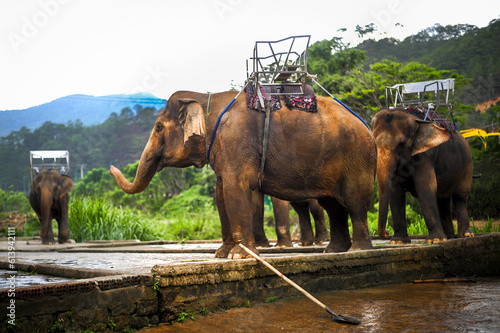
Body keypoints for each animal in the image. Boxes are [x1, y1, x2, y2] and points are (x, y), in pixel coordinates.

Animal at [109, 89, 376, 258]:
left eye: (158, 127)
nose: (111, 167)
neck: (205, 99)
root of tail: (367, 126)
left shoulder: (236, 140)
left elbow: (233, 189)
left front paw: (239, 256)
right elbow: (220, 194)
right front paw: (222, 254)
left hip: (356, 159)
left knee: (354, 204)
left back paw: (358, 250)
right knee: (333, 206)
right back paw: (333, 250)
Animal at [374, 109, 474, 244]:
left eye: (401, 143)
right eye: (373, 142)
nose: (387, 232)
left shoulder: (425, 156)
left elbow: (425, 187)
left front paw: (434, 240)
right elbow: (396, 192)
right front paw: (398, 241)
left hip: (467, 166)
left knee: (460, 198)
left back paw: (465, 235)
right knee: (442, 200)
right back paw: (448, 236)